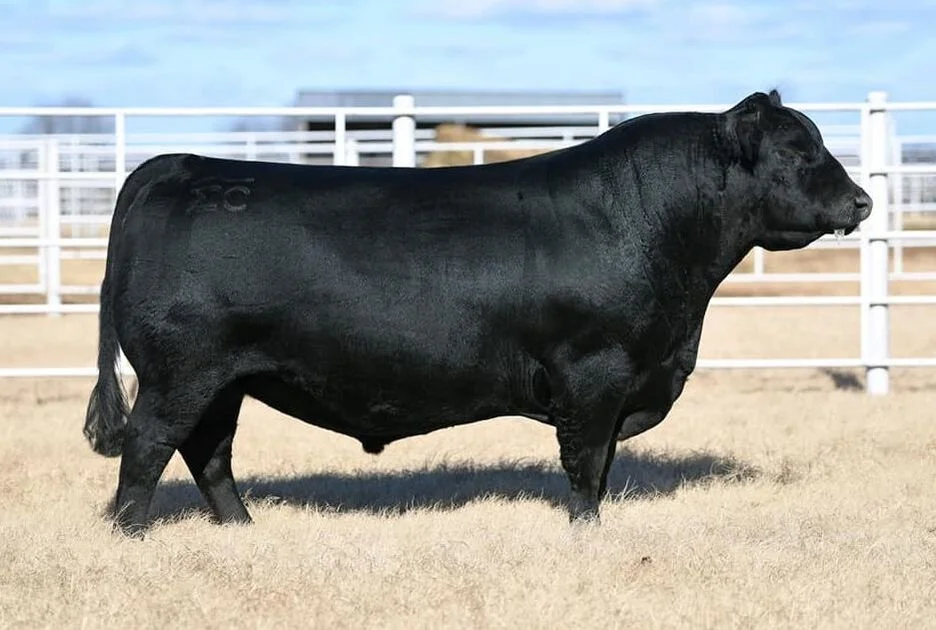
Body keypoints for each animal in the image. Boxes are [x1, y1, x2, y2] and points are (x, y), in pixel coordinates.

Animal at [83, 90, 871, 536]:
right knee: (149, 447)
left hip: (224, 379)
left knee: (208, 452)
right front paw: (586, 533)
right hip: (181, 372)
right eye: (798, 151)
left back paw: (243, 532)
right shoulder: (594, 371)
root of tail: (180, 164)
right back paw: (131, 537)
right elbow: (587, 462)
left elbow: (603, 462)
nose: (862, 200)